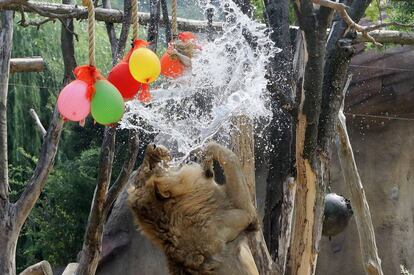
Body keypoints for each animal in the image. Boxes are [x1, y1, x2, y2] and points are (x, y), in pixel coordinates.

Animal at [128, 143, 260, 274]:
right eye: (151, 167)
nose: (152, 145)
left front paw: (206, 164)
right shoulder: (245, 214)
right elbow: (228, 155)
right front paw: (207, 161)